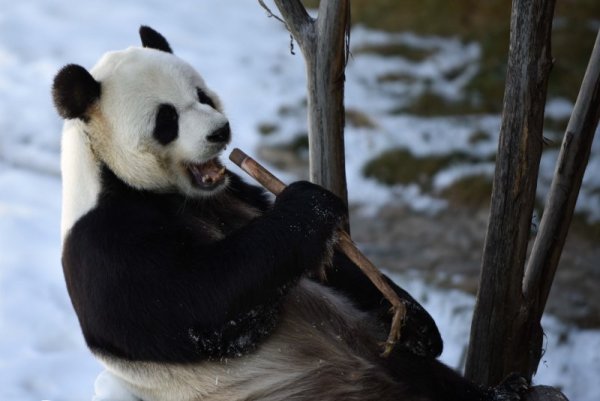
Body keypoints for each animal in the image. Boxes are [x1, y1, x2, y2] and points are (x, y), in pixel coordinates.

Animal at [52, 26, 524, 398]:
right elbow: (200, 306)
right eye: (166, 119)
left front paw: (416, 322)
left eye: (202, 96)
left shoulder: (233, 193)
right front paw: (308, 203)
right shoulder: (107, 243)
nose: (220, 131)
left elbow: (329, 267)